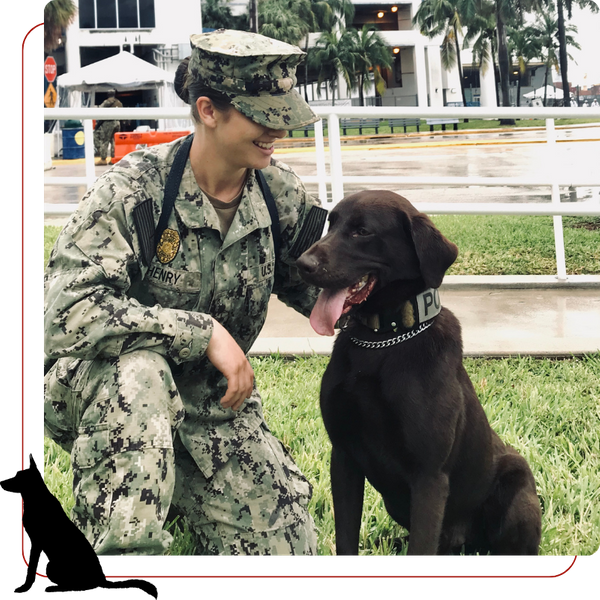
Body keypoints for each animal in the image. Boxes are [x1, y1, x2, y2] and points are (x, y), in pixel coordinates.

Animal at [298, 192, 540, 556]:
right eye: (332, 224)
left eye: (362, 231)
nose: (302, 264)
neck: (381, 340)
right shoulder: (343, 459)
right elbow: (346, 539)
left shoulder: (429, 477)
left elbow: (420, 544)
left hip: (518, 487)